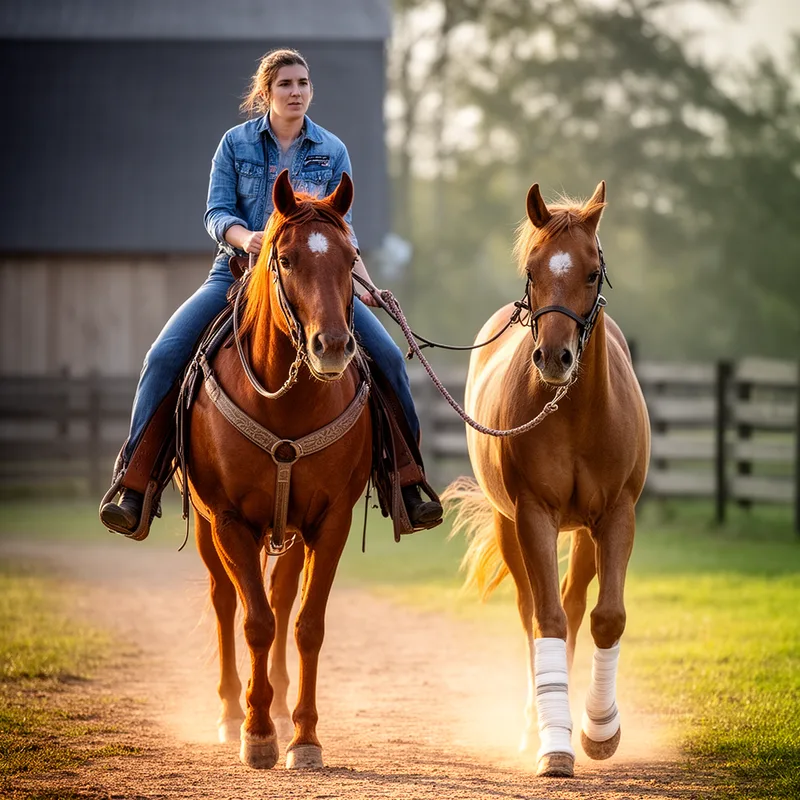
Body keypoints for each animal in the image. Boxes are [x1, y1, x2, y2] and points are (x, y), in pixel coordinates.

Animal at [186, 170, 372, 770]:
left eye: (350, 256)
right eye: (285, 259)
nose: (332, 346)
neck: (285, 405)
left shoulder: (330, 522)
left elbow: (306, 624)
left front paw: (305, 736)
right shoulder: (228, 521)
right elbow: (256, 621)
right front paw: (258, 732)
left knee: (282, 597)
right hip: (208, 528)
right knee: (225, 601)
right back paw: (230, 710)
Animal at [444, 180, 650, 777]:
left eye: (591, 272)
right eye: (532, 270)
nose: (553, 357)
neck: (575, 413)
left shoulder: (616, 516)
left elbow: (606, 617)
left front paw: (600, 729)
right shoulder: (533, 515)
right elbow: (548, 621)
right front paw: (554, 743)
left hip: (582, 533)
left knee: (577, 604)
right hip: (509, 525)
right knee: (533, 612)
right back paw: (535, 722)